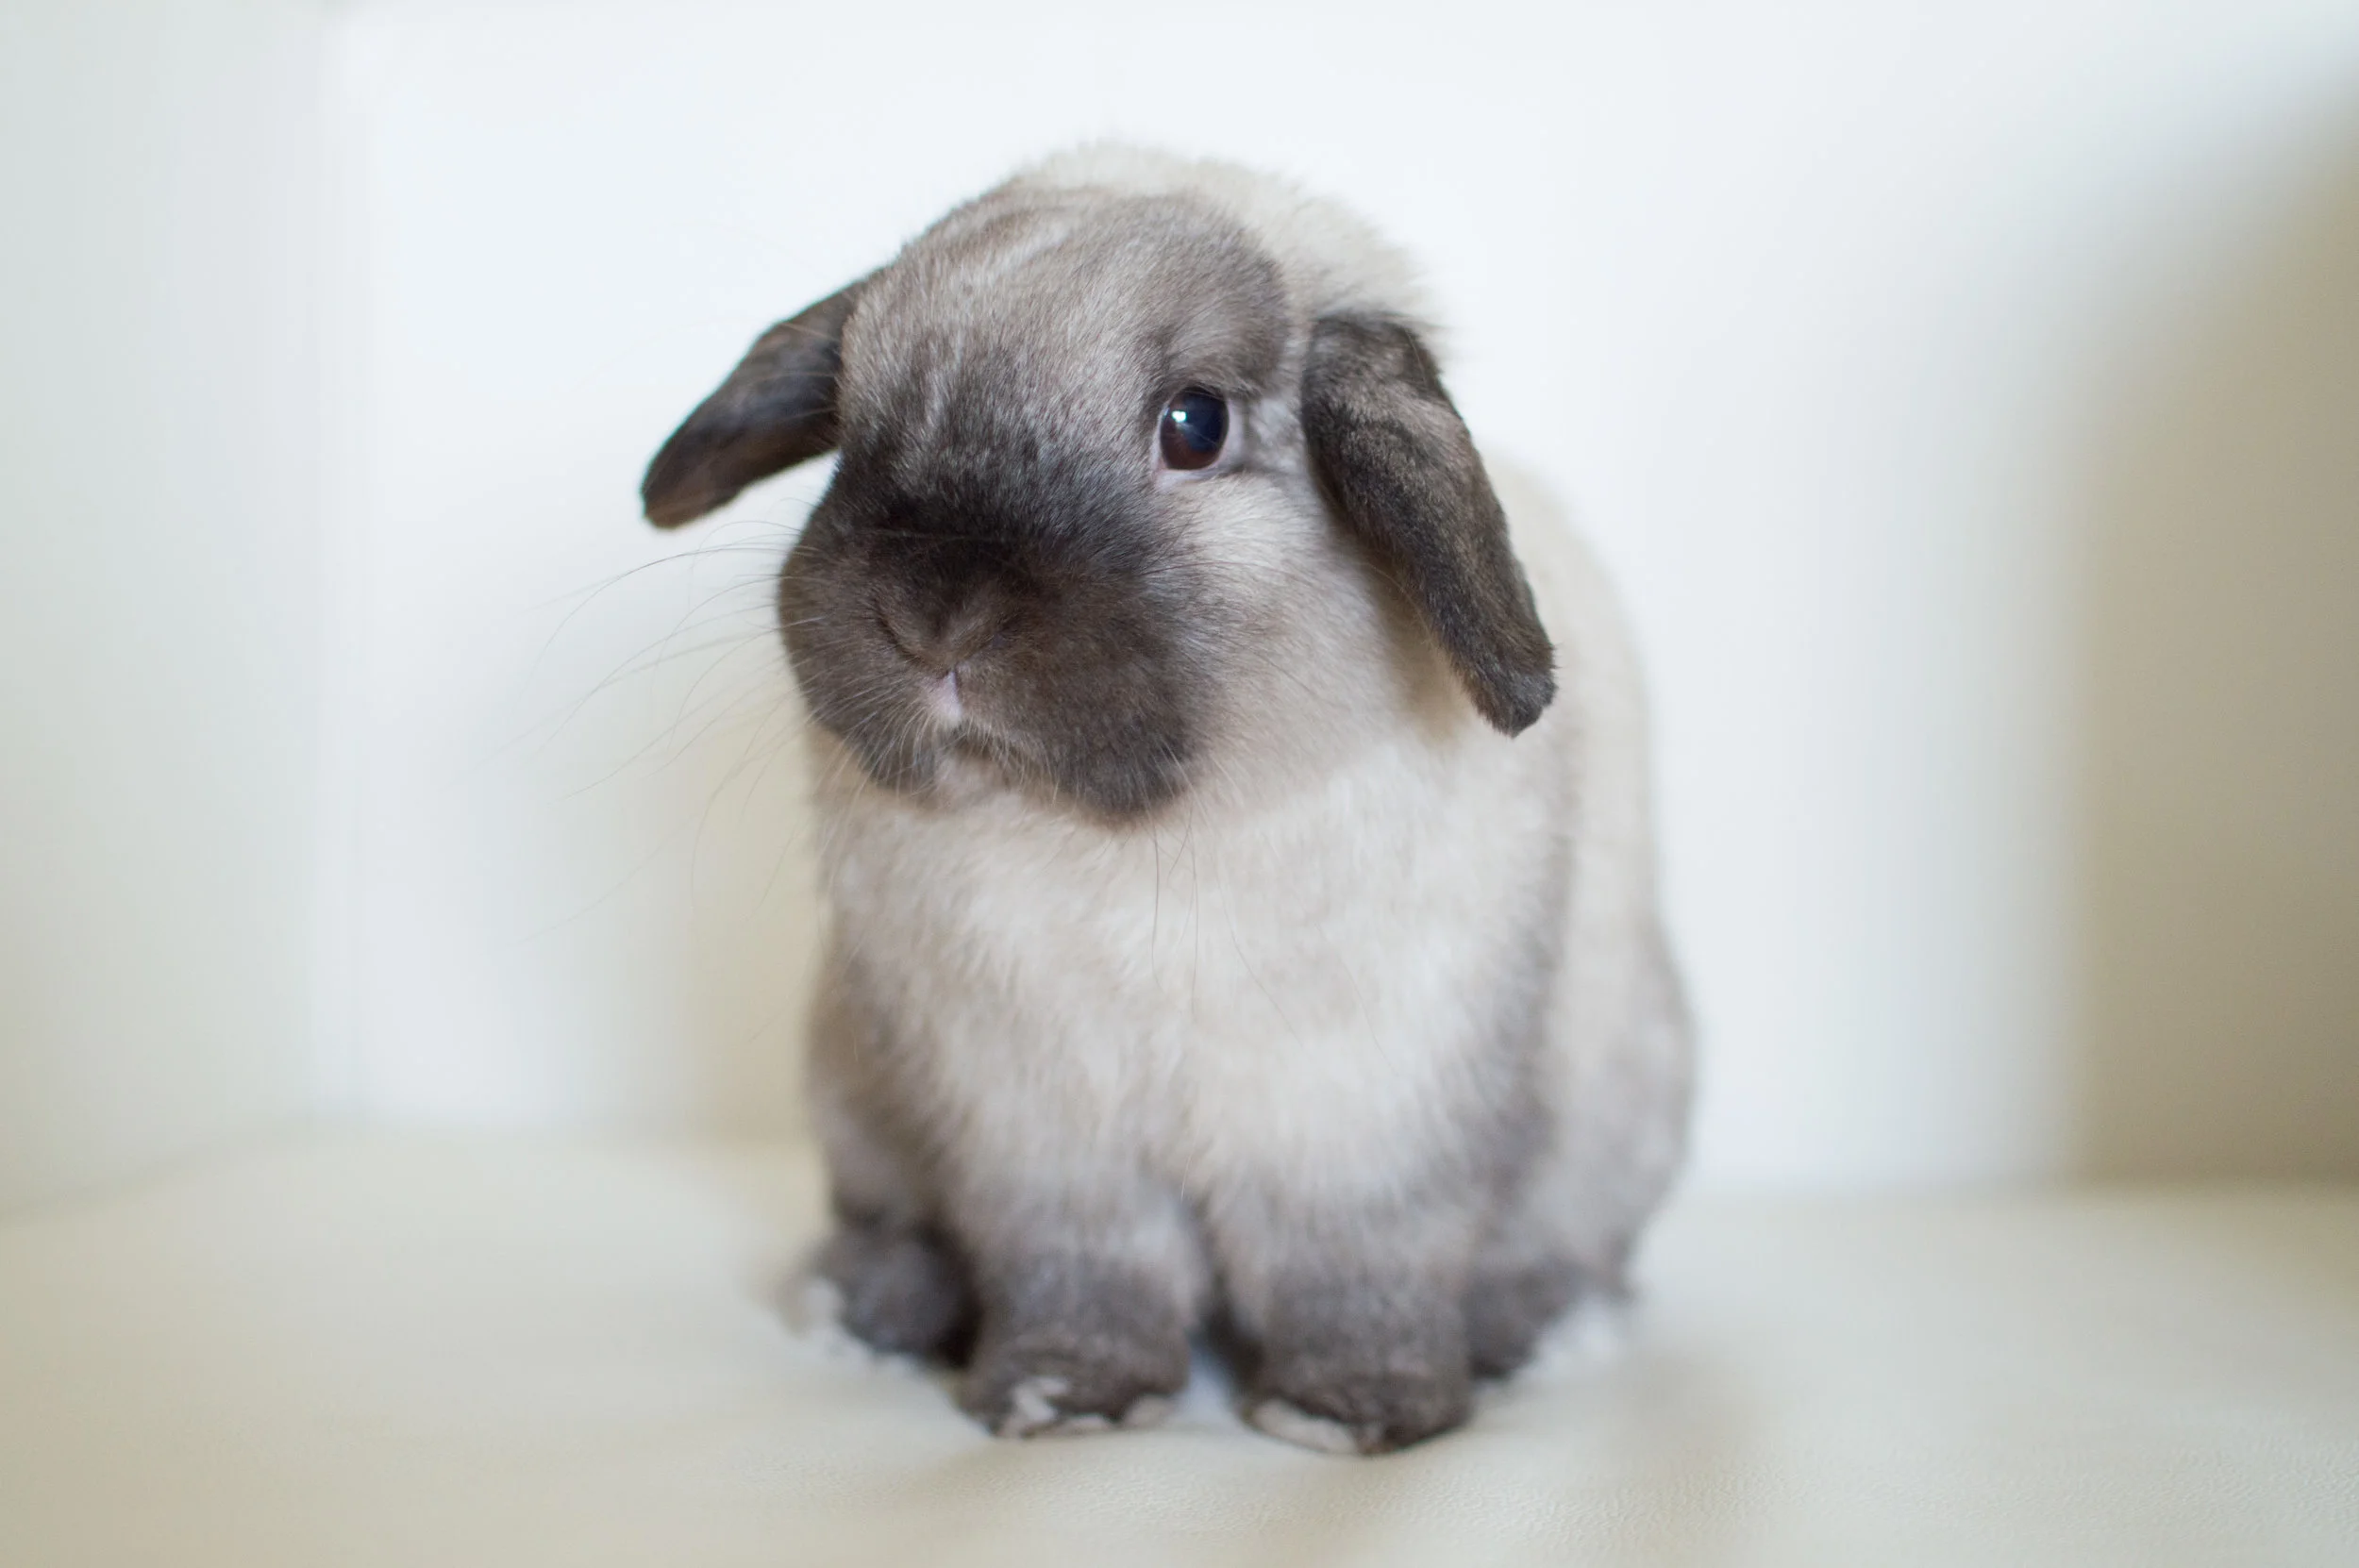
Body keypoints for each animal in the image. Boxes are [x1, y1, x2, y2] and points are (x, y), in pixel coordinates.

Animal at [640, 147, 1692, 1455]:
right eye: (851, 412)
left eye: (1194, 425)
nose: (931, 616)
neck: (1133, 841)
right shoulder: (1038, 1141)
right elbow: (1084, 1275)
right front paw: (1059, 1399)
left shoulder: (1366, 1135)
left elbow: (1358, 1276)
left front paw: (1346, 1417)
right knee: (892, 1231)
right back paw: (863, 1310)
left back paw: (1533, 1333)